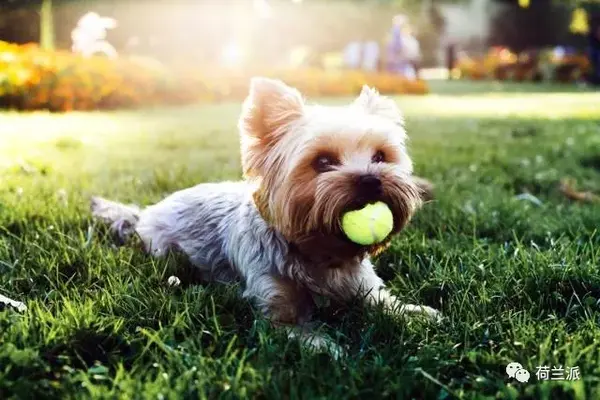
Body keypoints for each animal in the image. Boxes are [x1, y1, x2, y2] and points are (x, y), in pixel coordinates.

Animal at [92, 78, 440, 356]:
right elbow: (298, 332)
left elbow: (385, 302)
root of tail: (146, 212)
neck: (322, 252)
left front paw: (418, 313)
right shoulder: (274, 309)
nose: (371, 179)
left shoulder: (365, 287)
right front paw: (328, 348)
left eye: (380, 156)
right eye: (322, 161)